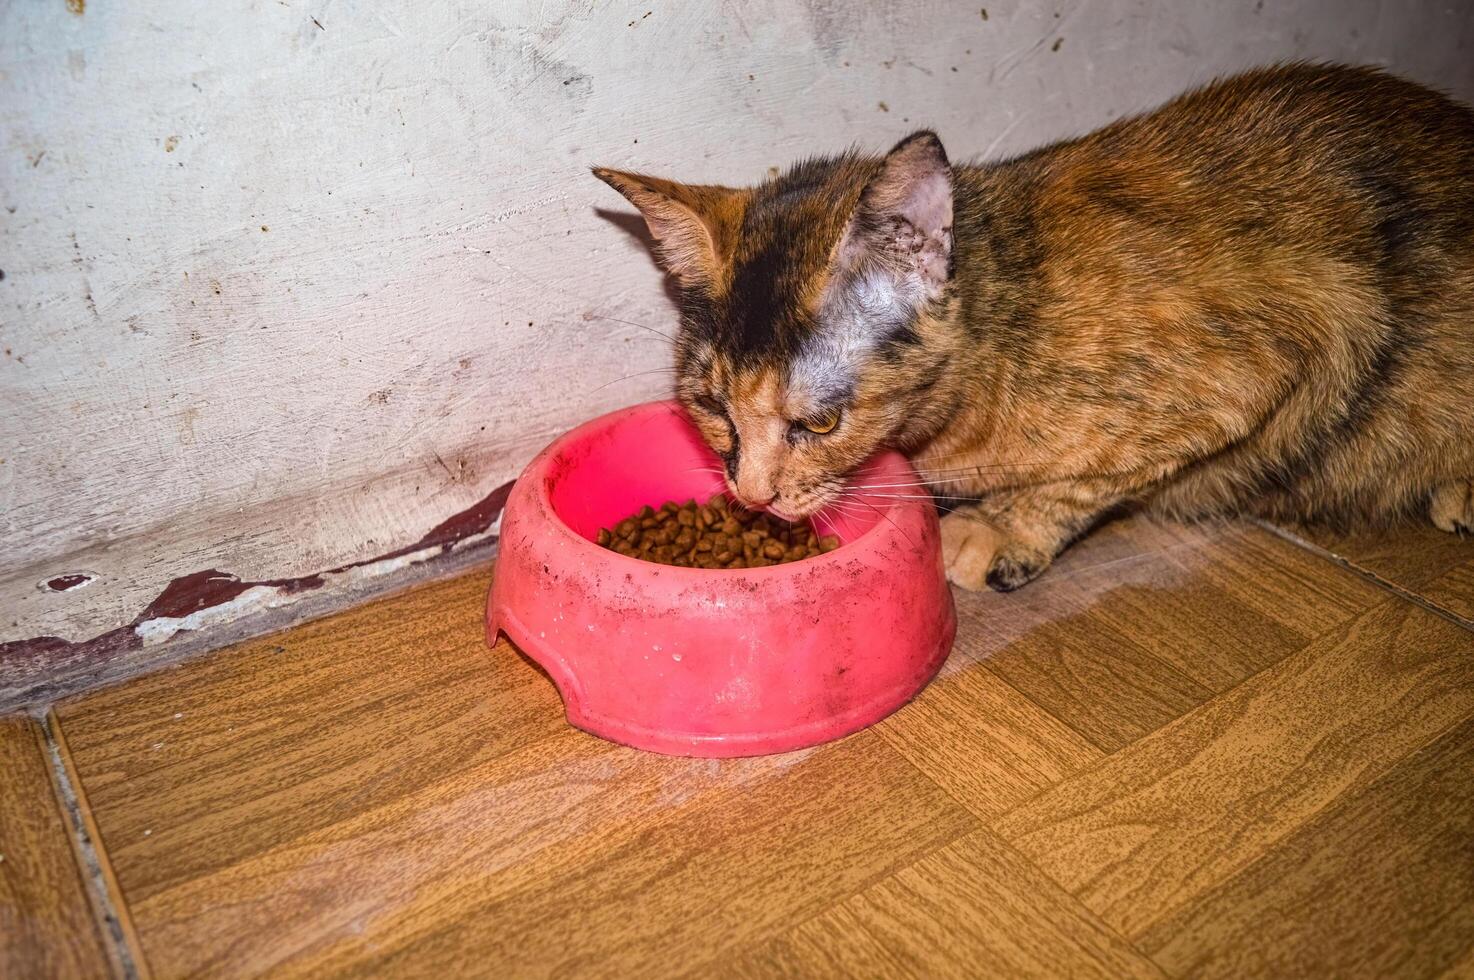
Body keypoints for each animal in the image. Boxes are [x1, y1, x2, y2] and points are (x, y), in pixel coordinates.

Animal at [589, 64, 1474, 592]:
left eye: (822, 423)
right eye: (712, 408)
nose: (753, 496)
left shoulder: (1282, 347)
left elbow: (1088, 478)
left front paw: (995, 531)